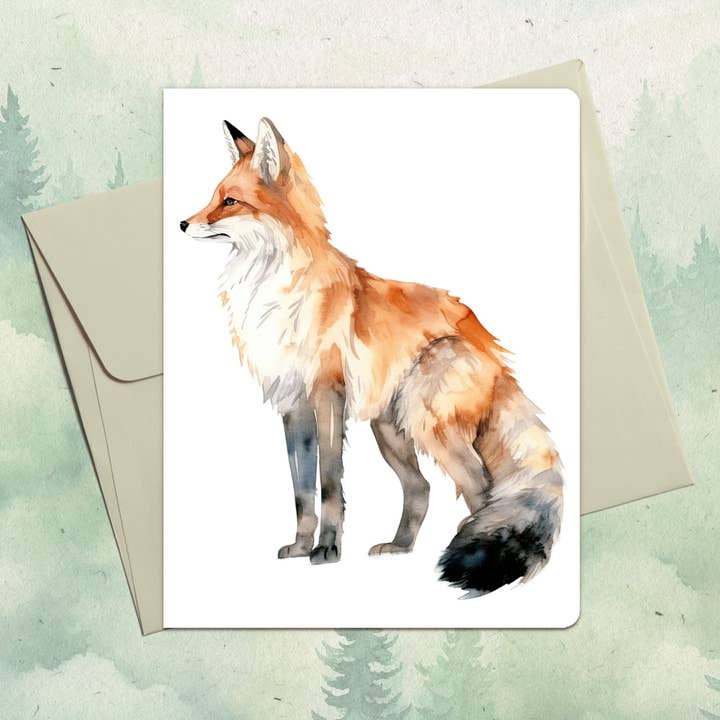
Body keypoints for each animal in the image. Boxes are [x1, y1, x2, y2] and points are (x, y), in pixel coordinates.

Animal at [179, 116, 563, 595]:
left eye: (229, 201)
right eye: (213, 196)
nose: (181, 223)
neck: (273, 291)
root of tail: (487, 339)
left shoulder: (327, 398)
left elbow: (329, 487)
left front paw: (326, 550)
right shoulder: (294, 408)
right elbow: (302, 492)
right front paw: (301, 547)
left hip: (428, 425)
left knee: (483, 491)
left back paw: (466, 565)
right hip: (391, 432)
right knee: (420, 490)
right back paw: (400, 548)